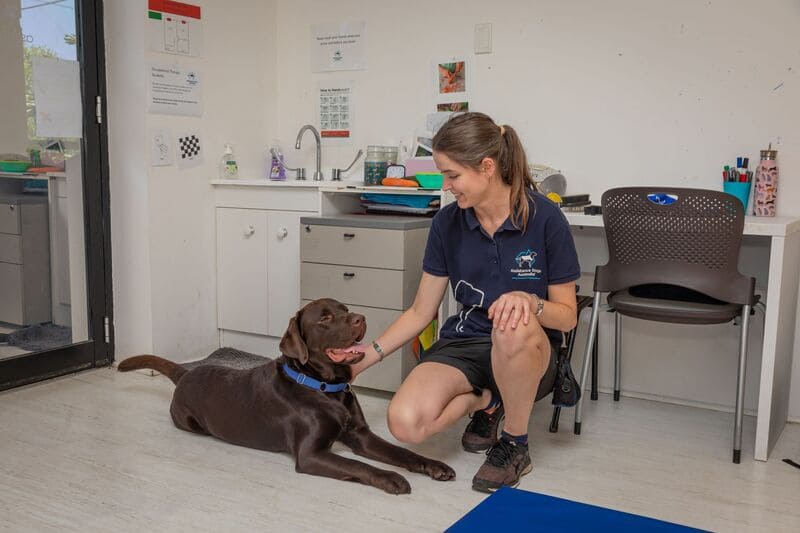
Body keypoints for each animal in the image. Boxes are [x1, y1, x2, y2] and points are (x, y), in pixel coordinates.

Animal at [119, 298, 456, 492]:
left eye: (346, 310)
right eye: (325, 318)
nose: (361, 318)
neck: (324, 387)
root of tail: (186, 373)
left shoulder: (361, 436)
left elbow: (402, 453)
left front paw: (433, 465)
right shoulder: (310, 454)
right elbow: (360, 466)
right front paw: (391, 478)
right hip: (190, 423)